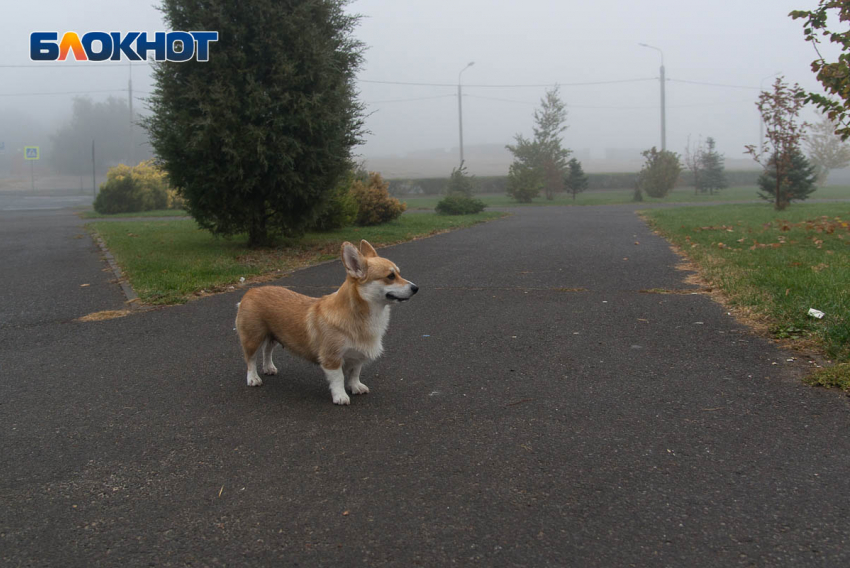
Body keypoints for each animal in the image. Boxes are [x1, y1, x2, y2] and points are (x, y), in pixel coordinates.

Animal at [232, 239, 418, 404]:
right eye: (390, 276)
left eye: (399, 273)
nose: (416, 288)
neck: (361, 315)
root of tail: (250, 292)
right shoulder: (332, 358)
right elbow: (338, 378)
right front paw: (340, 396)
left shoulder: (358, 355)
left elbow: (355, 373)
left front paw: (356, 387)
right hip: (252, 337)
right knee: (250, 359)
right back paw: (253, 378)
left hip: (273, 335)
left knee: (267, 350)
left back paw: (269, 368)